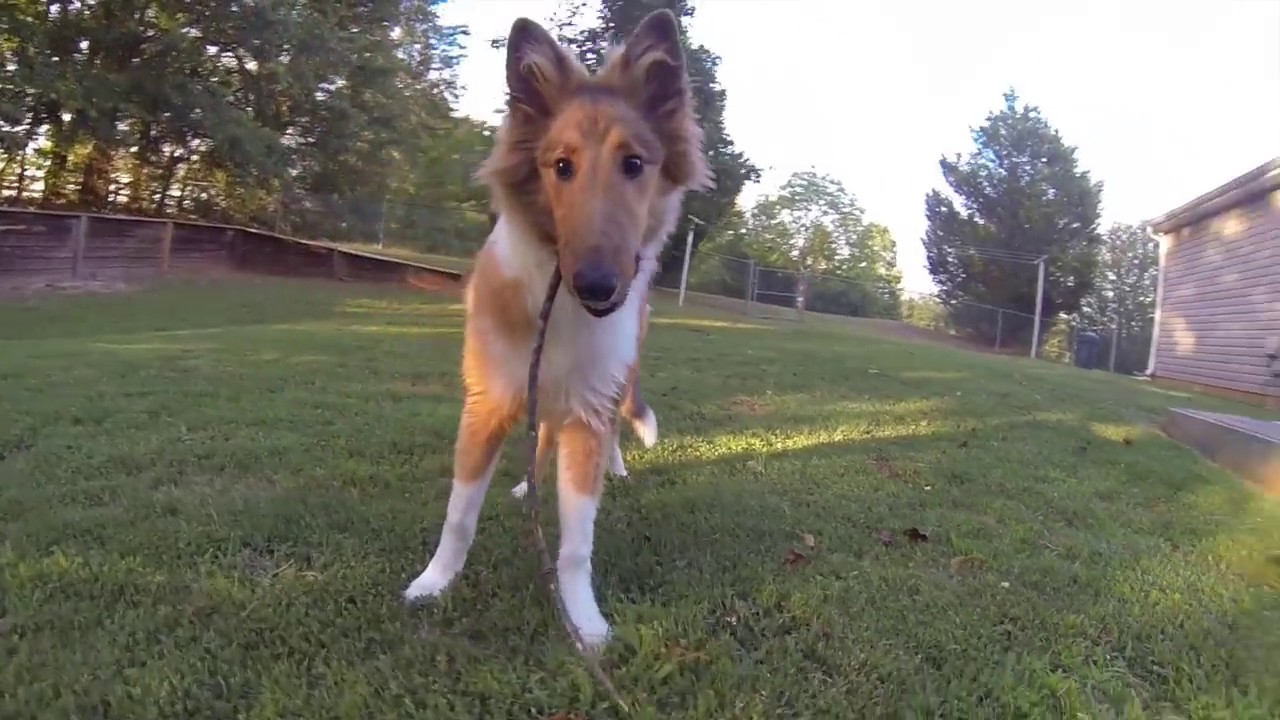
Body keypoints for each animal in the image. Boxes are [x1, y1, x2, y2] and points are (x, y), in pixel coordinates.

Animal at [401, 9, 711, 650]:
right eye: (560, 166)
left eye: (634, 164)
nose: (598, 285)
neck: (562, 304)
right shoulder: (488, 400)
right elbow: (459, 515)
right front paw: (433, 584)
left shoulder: (590, 410)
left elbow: (576, 545)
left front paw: (584, 622)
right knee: (540, 434)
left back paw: (613, 468)